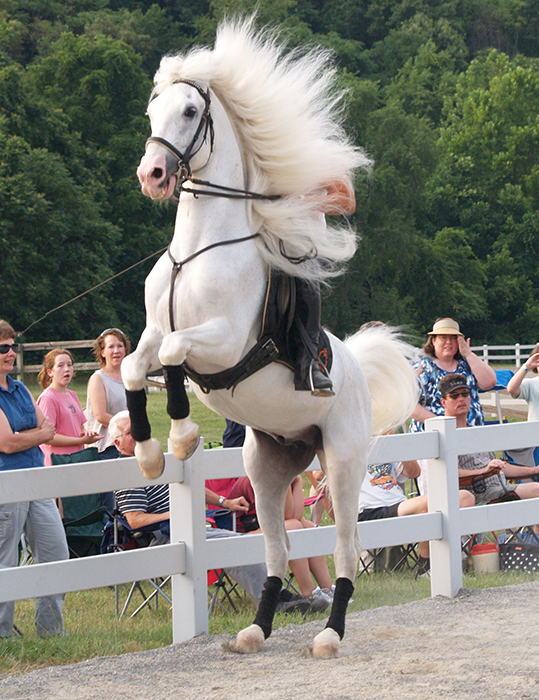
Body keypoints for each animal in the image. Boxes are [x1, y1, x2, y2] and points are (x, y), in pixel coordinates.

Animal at [123, 17, 418, 660]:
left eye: (190, 111)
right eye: (153, 109)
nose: (151, 176)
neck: (197, 250)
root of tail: (356, 373)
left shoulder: (223, 342)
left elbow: (178, 354)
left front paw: (182, 437)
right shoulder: (153, 332)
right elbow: (135, 367)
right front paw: (150, 452)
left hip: (342, 463)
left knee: (344, 547)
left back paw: (330, 634)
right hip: (267, 468)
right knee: (278, 551)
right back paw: (256, 629)